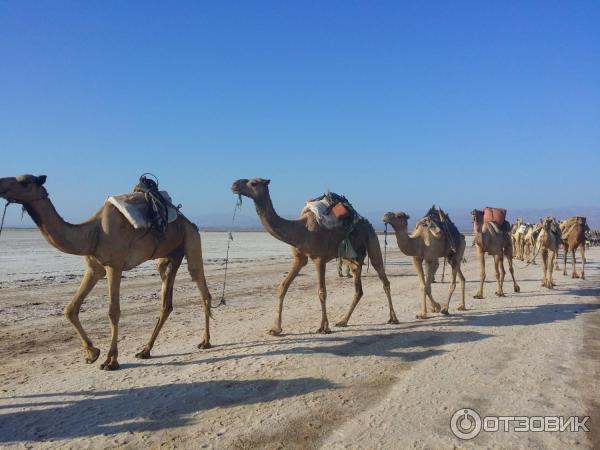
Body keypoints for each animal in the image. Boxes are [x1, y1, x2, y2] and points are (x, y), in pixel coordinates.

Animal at [0, 175, 213, 370]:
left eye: (24, 181)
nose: (1, 184)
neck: (92, 234)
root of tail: (190, 222)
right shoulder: (94, 269)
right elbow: (70, 308)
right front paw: (92, 353)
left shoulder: (114, 266)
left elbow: (113, 311)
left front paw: (111, 360)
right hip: (169, 257)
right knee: (166, 303)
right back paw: (145, 350)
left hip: (191, 239)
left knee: (202, 287)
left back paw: (205, 341)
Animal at [231, 177, 398, 334]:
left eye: (253, 183)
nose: (234, 184)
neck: (301, 230)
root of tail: (365, 221)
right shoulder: (299, 259)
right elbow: (282, 287)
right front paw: (275, 329)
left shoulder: (319, 259)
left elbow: (321, 292)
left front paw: (324, 327)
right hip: (353, 257)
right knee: (359, 290)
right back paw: (343, 321)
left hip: (372, 239)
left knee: (384, 278)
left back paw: (393, 318)